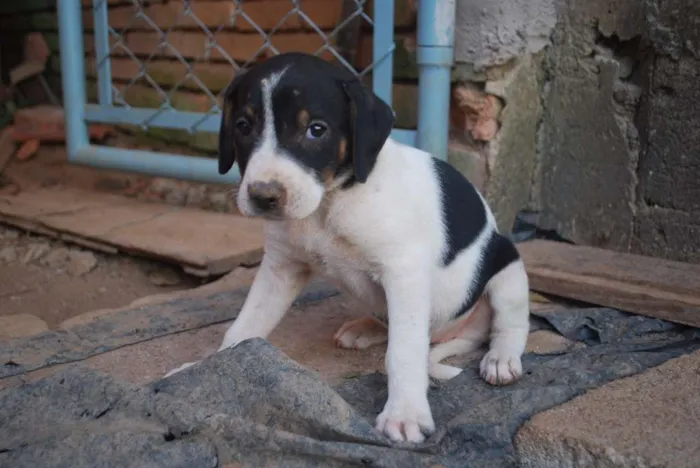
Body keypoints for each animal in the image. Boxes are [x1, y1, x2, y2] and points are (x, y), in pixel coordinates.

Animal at [168, 53, 532, 444]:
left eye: (316, 129)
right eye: (243, 126)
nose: (263, 196)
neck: (329, 204)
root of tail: (461, 332)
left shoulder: (403, 273)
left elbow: (404, 351)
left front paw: (405, 413)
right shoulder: (281, 267)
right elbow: (244, 326)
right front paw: (206, 368)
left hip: (507, 270)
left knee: (507, 326)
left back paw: (501, 359)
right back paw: (365, 328)